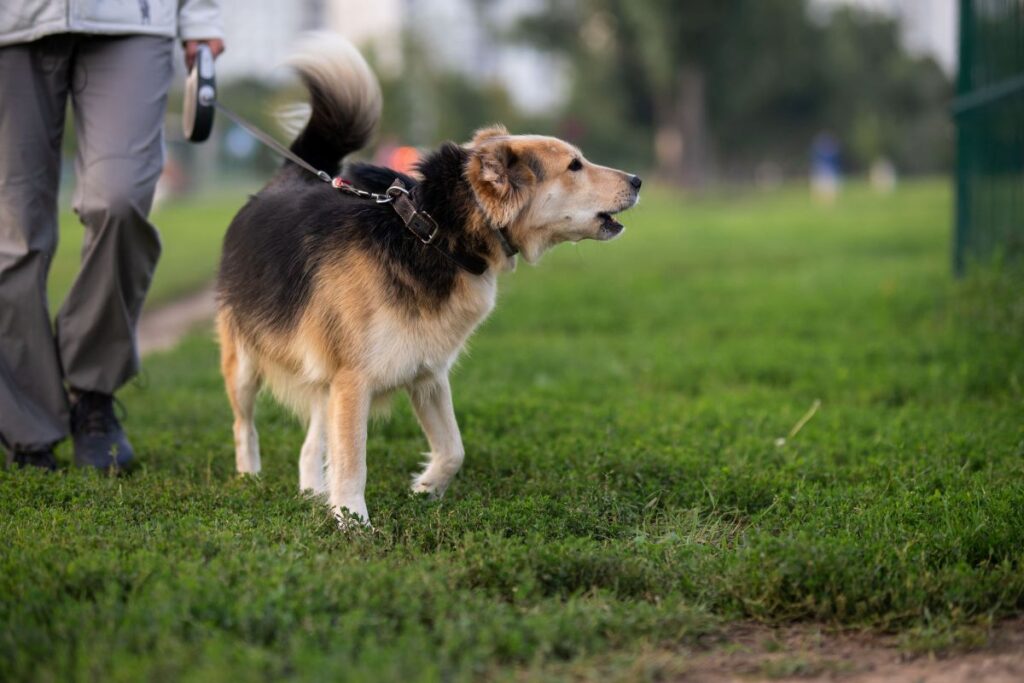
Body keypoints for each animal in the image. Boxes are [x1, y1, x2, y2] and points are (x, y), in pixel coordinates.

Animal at [216, 34, 638, 528]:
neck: (434, 232)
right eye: (574, 166)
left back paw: (311, 493)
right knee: (243, 424)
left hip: (321, 375)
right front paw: (354, 523)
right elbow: (352, 460)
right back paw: (251, 479)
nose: (638, 179)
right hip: (245, 362)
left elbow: (453, 449)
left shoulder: (427, 372)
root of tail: (284, 181)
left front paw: (425, 488)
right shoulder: (353, 381)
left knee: (309, 445)